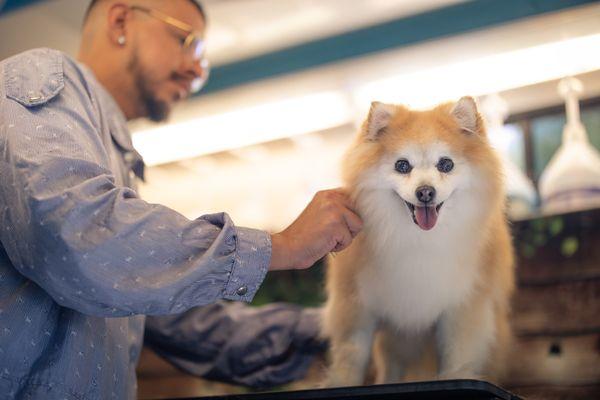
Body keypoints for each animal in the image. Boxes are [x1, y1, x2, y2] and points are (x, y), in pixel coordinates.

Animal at [324, 97, 516, 388]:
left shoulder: (462, 309)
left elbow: (457, 360)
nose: (425, 192)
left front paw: (455, 377)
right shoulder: (357, 306)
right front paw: (342, 383)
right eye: (402, 165)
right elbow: (351, 357)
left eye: (446, 164)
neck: (417, 239)